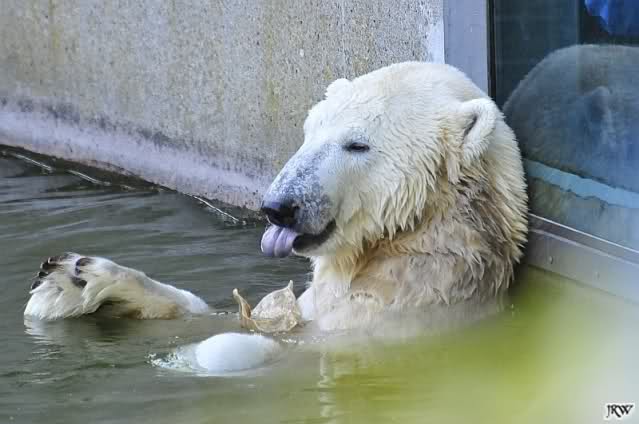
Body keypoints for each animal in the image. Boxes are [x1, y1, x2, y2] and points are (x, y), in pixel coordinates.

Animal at [25, 62, 528, 369]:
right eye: (310, 130)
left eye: (357, 144)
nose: (278, 207)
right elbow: (242, 315)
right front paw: (73, 280)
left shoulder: (397, 317)